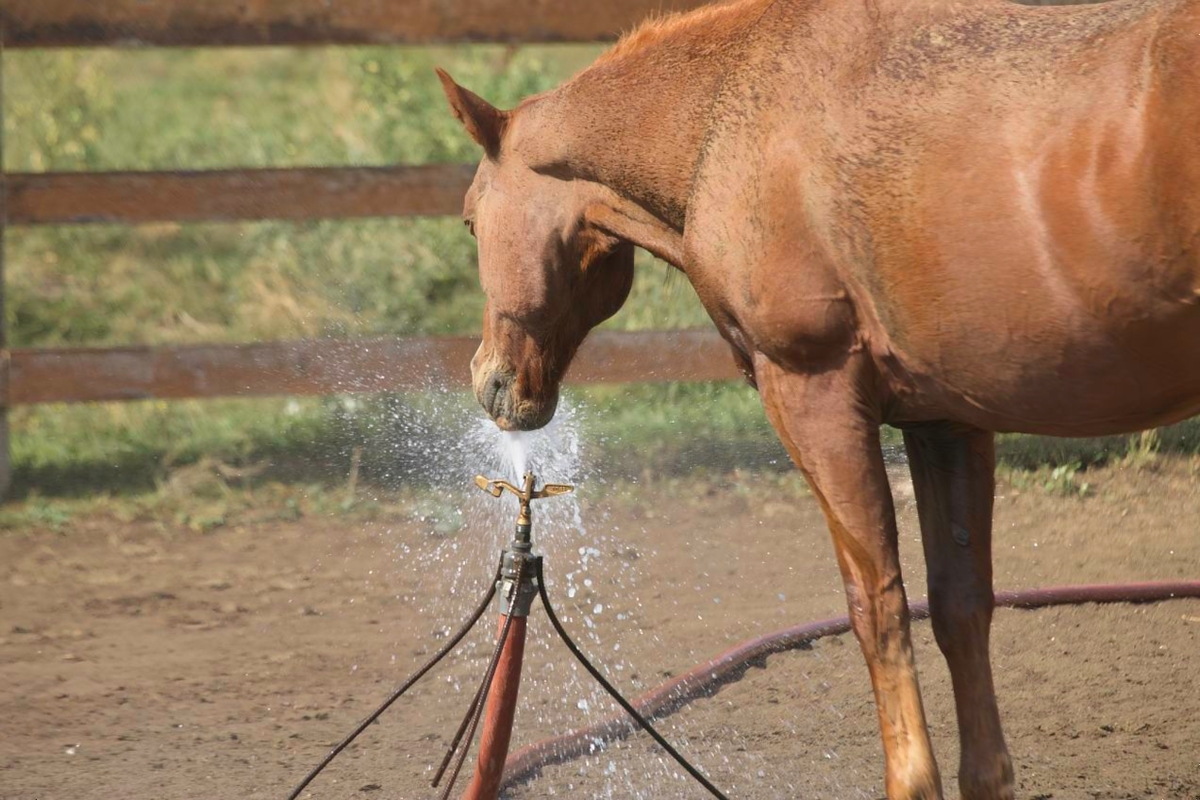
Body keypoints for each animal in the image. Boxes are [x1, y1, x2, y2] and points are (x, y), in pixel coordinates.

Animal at [437, 0, 1200, 795]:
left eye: (469, 220)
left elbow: (877, 607)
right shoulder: (947, 421)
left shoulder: (814, 397)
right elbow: (960, 607)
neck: (732, 113)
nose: (490, 382)